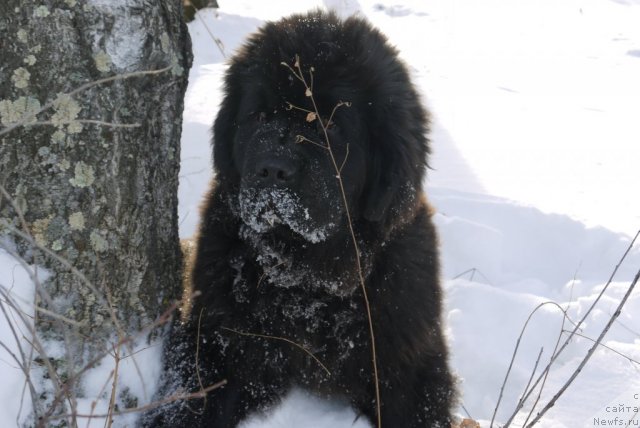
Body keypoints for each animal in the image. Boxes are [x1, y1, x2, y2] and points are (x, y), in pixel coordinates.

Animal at [143, 7, 458, 428]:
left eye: (330, 125)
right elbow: (188, 399)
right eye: (259, 116)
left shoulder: (406, 359)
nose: (273, 170)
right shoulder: (214, 338)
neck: (306, 284)